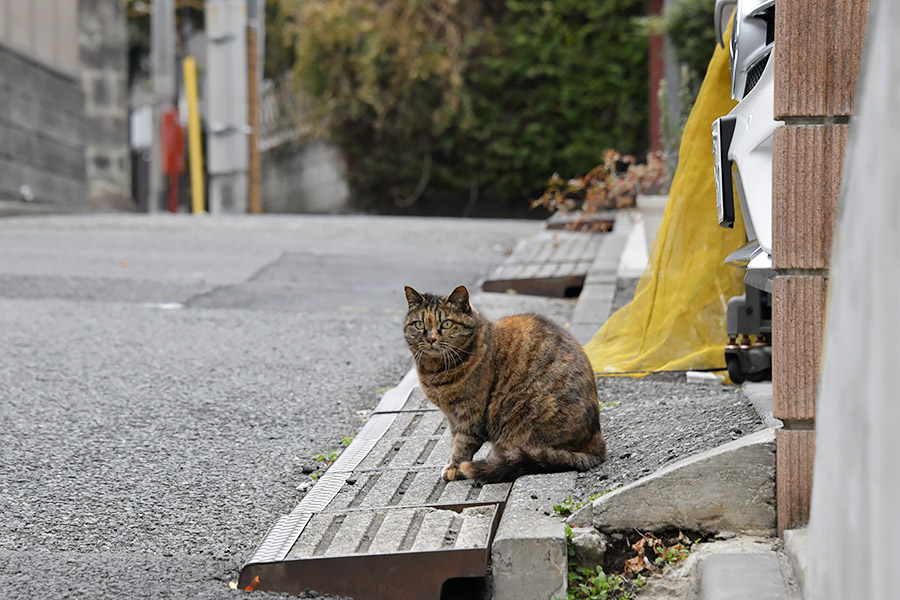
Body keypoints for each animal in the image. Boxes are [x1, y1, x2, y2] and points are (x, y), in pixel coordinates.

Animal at [402, 284, 604, 482]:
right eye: (419, 324)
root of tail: (597, 442)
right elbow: (454, 440)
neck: (435, 369)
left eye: (447, 324)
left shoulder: (470, 415)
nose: (430, 339)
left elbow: (462, 443)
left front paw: (455, 468)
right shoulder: (453, 417)